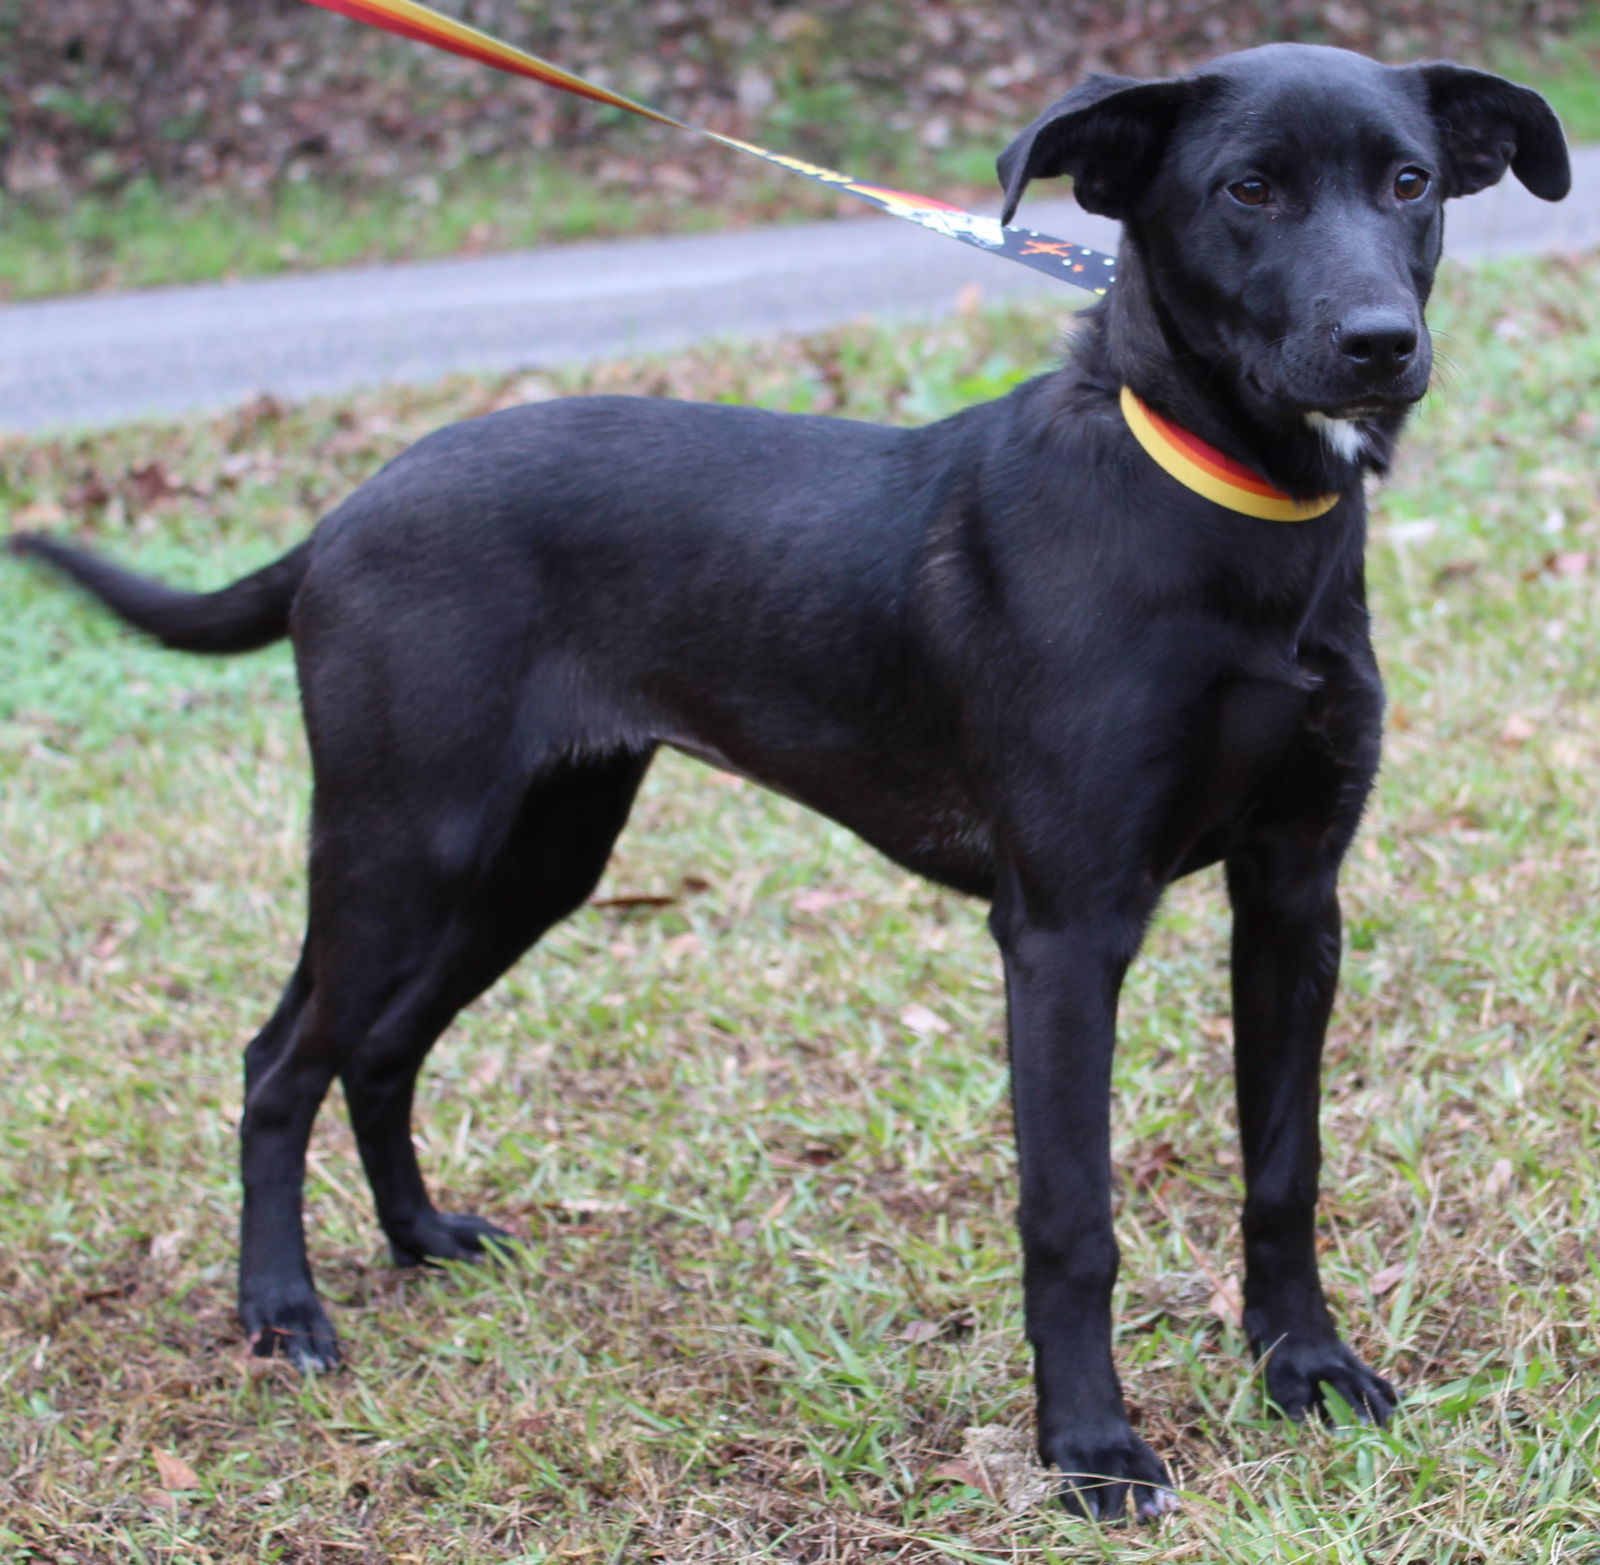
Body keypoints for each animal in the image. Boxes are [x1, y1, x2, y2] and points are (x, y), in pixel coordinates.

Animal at [9, 45, 1561, 1510]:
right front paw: (1088, 1450)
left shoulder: (1294, 899)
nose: (1380, 343)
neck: (1220, 509)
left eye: (1410, 183)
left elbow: (1285, 1167)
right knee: (281, 1064)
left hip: (534, 854)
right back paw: (281, 1310)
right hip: (406, 843)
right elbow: (1071, 1217)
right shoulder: (1065, 930)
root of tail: (348, 506)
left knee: (378, 1046)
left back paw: (419, 1238)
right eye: (1247, 189)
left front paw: (1304, 1365)